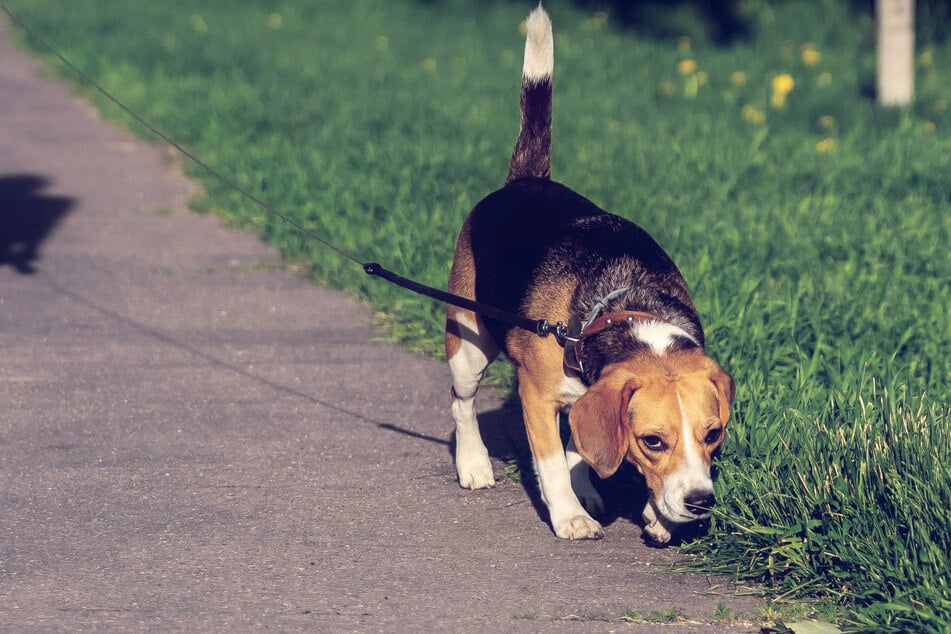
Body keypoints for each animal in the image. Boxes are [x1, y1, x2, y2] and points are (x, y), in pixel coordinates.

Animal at [446, 3, 736, 540]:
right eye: (653, 441)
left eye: (713, 434)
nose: (701, 502)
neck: (624, 308)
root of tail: (525, 182)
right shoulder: (536, 397)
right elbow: (551, 463)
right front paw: (570, 516)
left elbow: (581, 448)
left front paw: (651, 511)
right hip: (468, 343)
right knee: (463, 401)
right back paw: (474, 464)